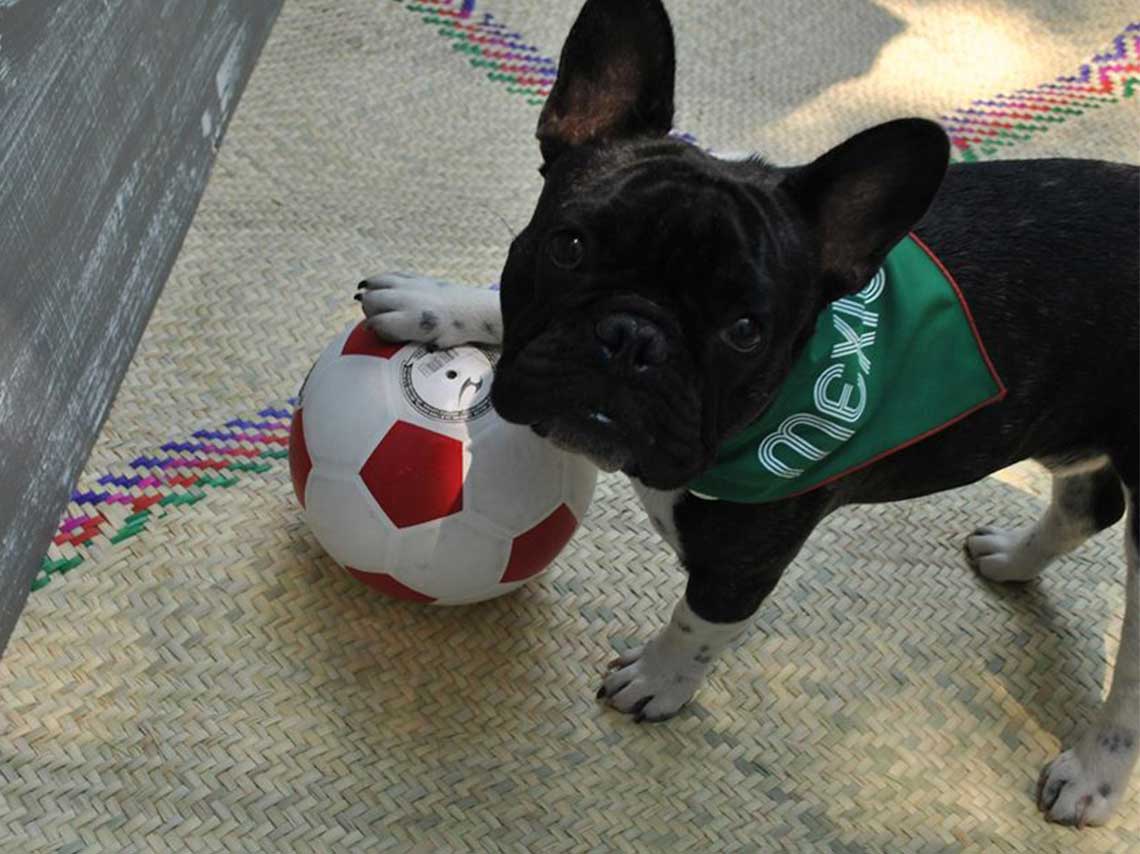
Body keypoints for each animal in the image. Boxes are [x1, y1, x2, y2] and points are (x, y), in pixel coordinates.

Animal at [357, 0, 1140, 825]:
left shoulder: (746, 557)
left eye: (744, 331)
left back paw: (1094, 772)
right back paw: (1015, 556)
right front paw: (437, 302)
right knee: (1093, 501)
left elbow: (698, 622)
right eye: (567, 246)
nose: (633, 338)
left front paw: (657, 680)